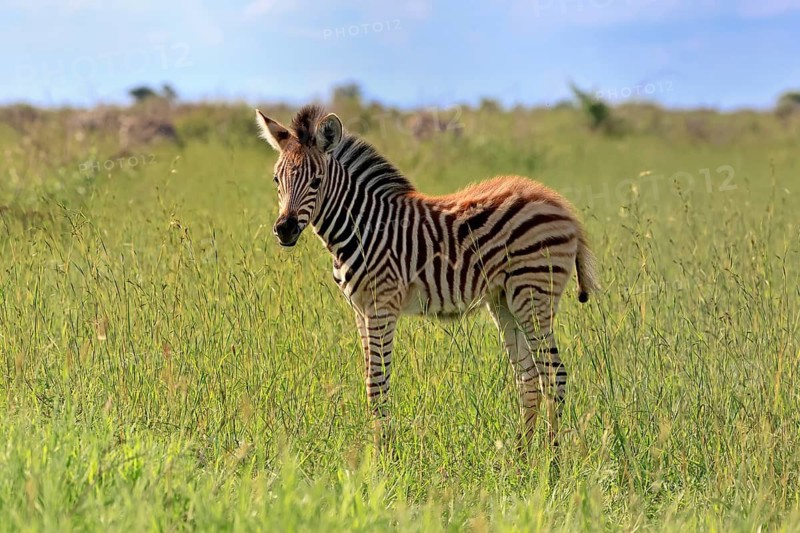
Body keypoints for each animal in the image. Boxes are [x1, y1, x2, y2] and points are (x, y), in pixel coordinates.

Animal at [255, 104, 599, 450]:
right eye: (276, 180)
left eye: (316, 181)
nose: (285, 229)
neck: (363, 227)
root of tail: (561, 206)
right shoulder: (359, 309)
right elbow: (369, 380)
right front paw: (377, 448)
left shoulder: (382, 304)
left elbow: (377, 383)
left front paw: (383, 454)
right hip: (504, 300)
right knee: (529, 377)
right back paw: (521, 455)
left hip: (532, 293)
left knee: (554, 374)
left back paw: (551, 458)